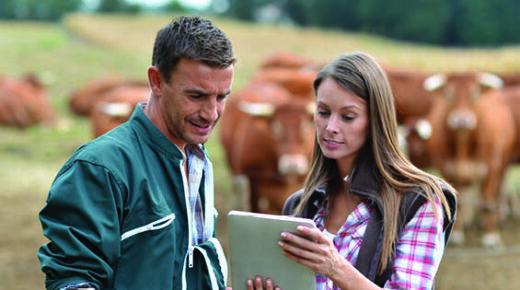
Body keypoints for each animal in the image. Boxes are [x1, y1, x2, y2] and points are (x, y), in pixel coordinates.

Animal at [424, 71, 512, 246]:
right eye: (449, 93)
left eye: (474, 93)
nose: (461, 120)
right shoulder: (447, 169)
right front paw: (457, 234)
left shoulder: (491, 167)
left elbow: (487, 201)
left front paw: (490, 235)